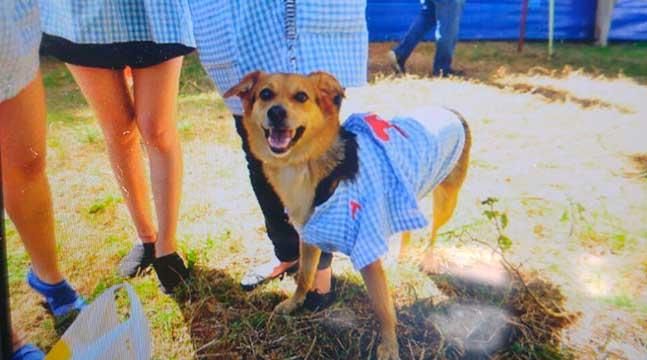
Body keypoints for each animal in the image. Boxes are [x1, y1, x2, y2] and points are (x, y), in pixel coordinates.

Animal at [225, 71, 474, 360]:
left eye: (301, 96)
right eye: (265, 94)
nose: (276, 112)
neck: (305, 165)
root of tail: (450, 110)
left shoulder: (366, 249)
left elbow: (382, 306)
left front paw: (389, 346)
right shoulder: (310, 235)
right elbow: (305, 276)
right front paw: (294, 303)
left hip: (446, 199)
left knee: (434, 230)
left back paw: (429, 259)